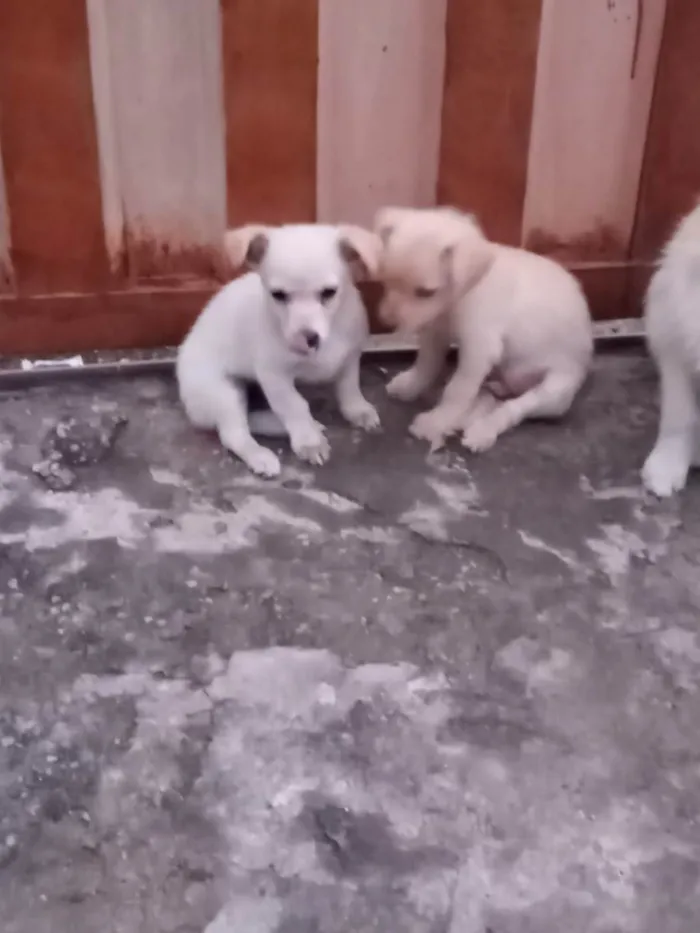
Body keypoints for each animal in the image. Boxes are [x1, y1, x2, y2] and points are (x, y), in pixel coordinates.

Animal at [178, 222, 380, 476]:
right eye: (278, 295)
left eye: (329, 292)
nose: (309, 338)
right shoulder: (275, 376)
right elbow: (295, 406)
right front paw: (309, 442)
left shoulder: (350, 358)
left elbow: (349, 388)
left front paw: (357, 411)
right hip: (223, 392)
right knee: (235, 433)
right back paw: (261, 455)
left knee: (252, 418)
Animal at [374, 207, 592, 452]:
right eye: (387, 281)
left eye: (426, 292)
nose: (386, 322)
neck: (458, 298)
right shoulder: (435, 333)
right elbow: (426, 365)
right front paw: (410, 386)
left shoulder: (478, 351)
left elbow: (457, 391)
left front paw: (436, 421)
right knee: (490, 399)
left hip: (554, 392)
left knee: (512, 409)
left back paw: (482, 432)